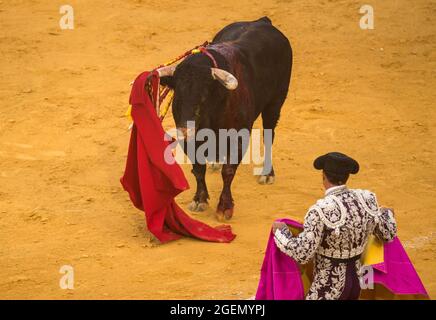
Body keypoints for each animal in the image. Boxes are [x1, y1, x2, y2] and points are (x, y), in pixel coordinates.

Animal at [158, 16, 292, 220]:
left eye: (204, 96)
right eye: (178, 95)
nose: (187, 130)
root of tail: (263, 21)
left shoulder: (238, 137)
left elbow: (228, 171)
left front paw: (224, 207)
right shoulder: (189, 141)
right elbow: (198, 169)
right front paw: (199, 199)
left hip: (276, 102)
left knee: (269, 135)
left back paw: (267, 173)